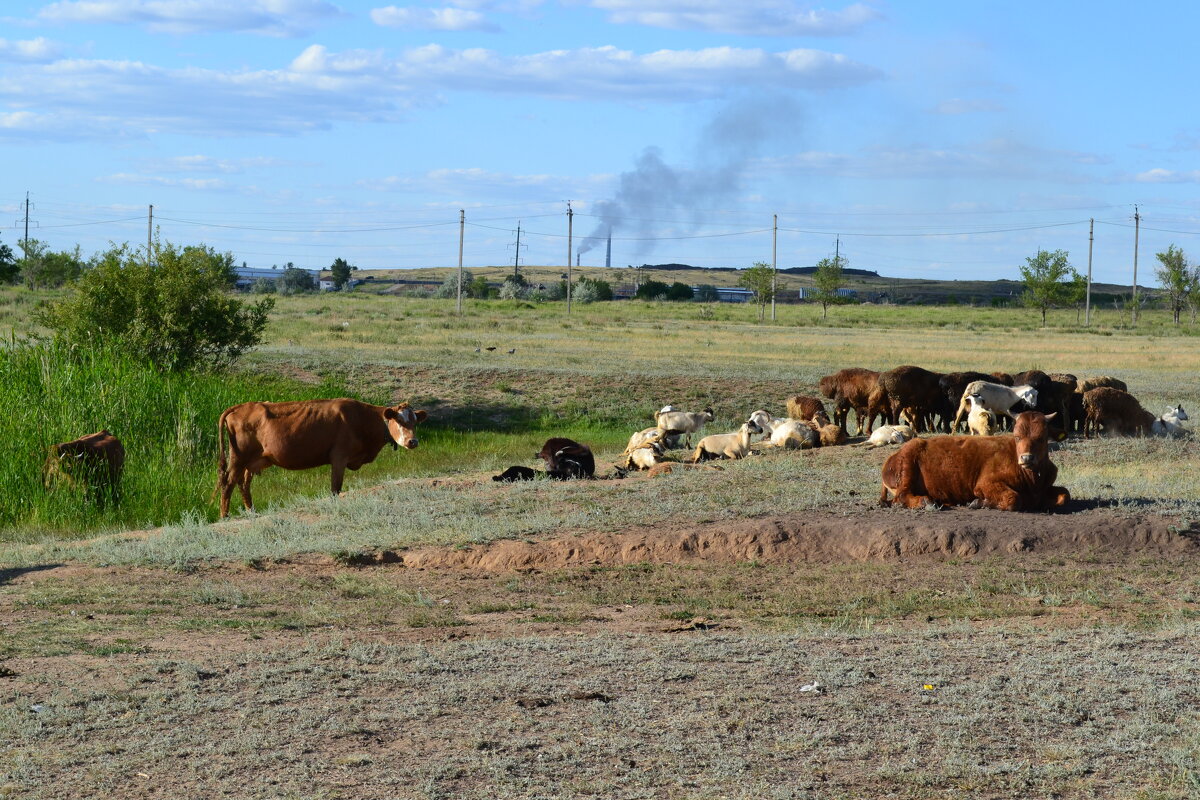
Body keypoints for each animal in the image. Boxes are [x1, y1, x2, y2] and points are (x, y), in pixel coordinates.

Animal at [218, 400, 429, 520]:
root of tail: (242, 407)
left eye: (415, 421)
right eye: (399, 421)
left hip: (252, 462)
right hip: (238, 458)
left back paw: (251, 512)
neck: (362, 418)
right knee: (228, 483)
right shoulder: (339, 457)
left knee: (244, 484)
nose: (412, 441)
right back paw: (224, 516)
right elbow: (335, 489)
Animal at [878, 412, 1065, 513]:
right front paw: (978, 503)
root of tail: (893, 457)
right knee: (901, 497)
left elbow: (1064, 495)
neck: (1032, 480)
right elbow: (1013, 498)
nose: (1026, 458)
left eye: (1042, 438)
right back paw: (927, 502)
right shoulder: (986, 484)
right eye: (1017, 436)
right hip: (907, 469)